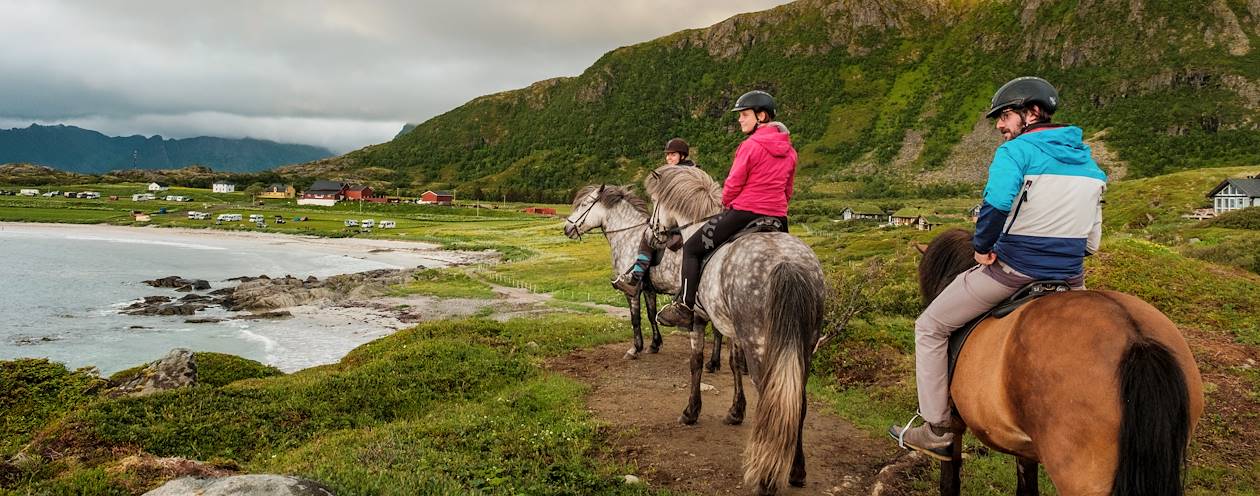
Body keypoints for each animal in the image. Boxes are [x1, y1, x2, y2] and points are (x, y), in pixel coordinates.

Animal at [564, 182, 725, 367]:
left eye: (584, 204)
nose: (566, 228)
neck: (627, 236)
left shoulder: (632, 291)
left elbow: (635, 319)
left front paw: (635, 348)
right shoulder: (649, 289)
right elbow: (650, 315)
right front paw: (654, 344)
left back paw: (714, 362)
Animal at [640, 166, 826, 496]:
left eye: (655, 202)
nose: (651, 233)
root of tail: (787, 263)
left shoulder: (699, 318)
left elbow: (696, 363)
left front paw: (691, 411)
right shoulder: (735, 331)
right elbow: (734, 363)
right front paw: (735, 412)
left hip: (762, 346)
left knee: (772, 398)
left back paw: (766, 478)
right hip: (803, 346)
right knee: (798, 402)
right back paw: (796, 470)